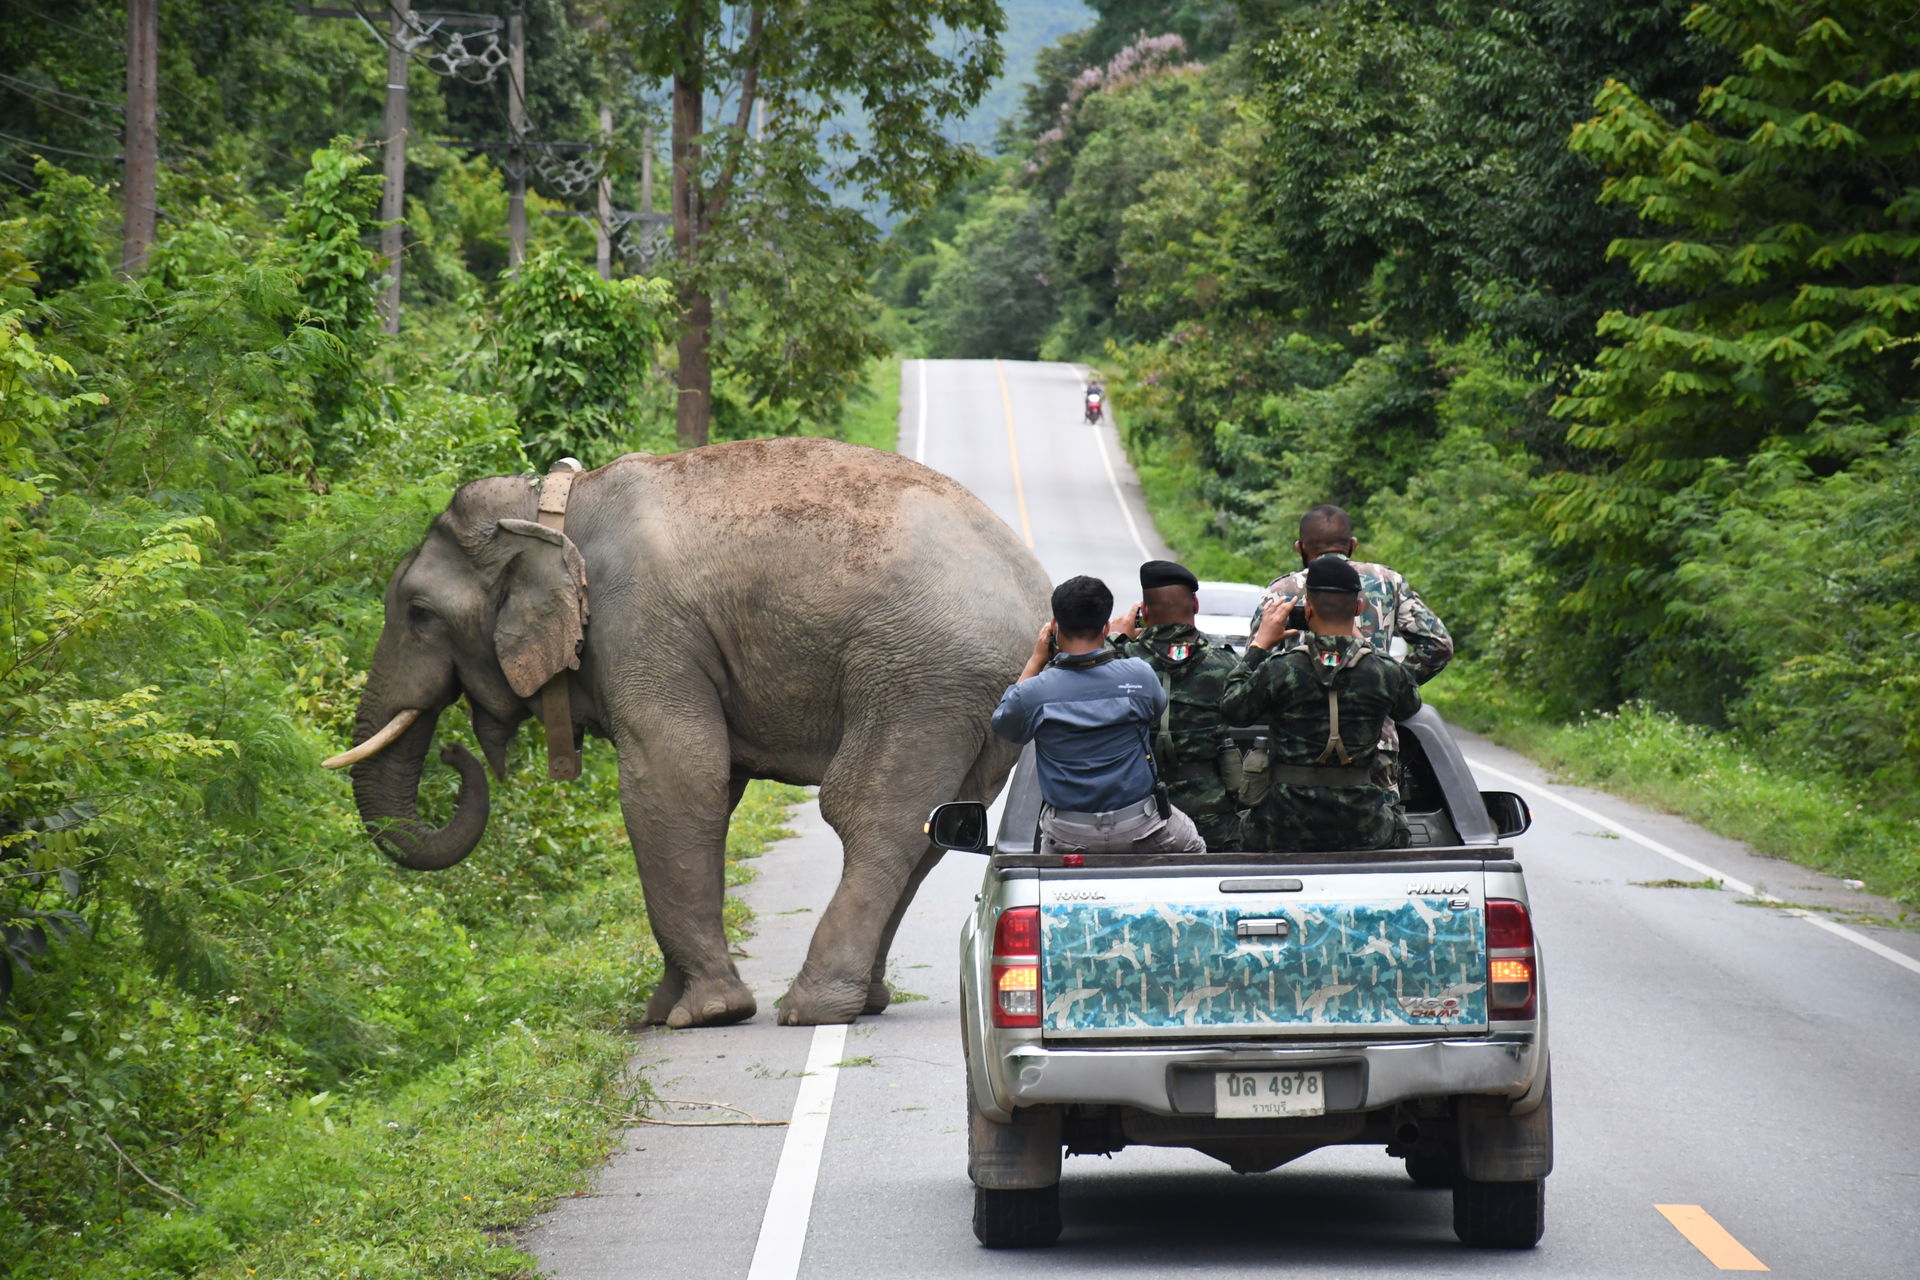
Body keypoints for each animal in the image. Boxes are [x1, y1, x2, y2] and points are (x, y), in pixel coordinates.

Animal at [326, 437, 1050, 1027]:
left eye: (419, 613)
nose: (454, 753)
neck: (552, 507)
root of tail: (1036, 592)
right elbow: (708, 790)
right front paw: (659, 1012)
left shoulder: (641, 626)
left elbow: (675, 781)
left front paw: (706, 1014)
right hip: (972, 702)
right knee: (937, 827)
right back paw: (863, 1000)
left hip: (918, 675)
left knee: (870, 815)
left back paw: (810, 1008)